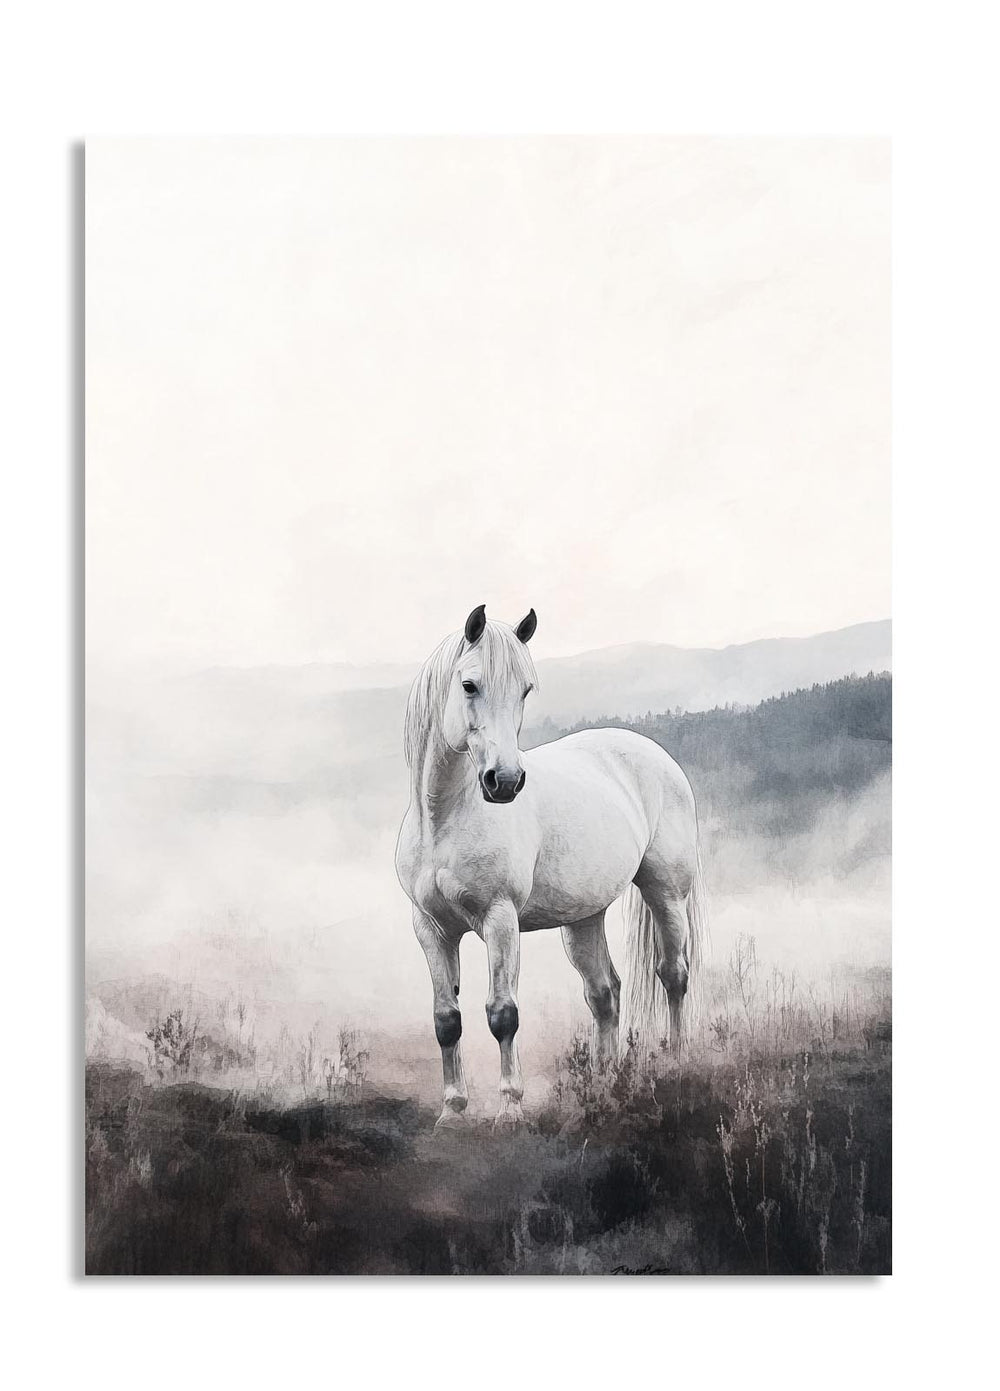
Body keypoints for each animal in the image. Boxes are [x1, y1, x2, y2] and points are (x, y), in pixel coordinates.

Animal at [394, 605, 706, 1128]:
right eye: (469, 685)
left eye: (525, 689)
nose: (504, 781)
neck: (444, 818)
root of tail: (655, 755)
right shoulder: (431, 928)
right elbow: (446, 1019)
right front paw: (452, 1111)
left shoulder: (500, 920)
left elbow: (503, 1014)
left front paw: (510, 1108)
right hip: (584, 917)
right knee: (604, 993)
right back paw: (603, 1086)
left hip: (665, 893)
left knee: (673, 974)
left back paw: (679, 1061)